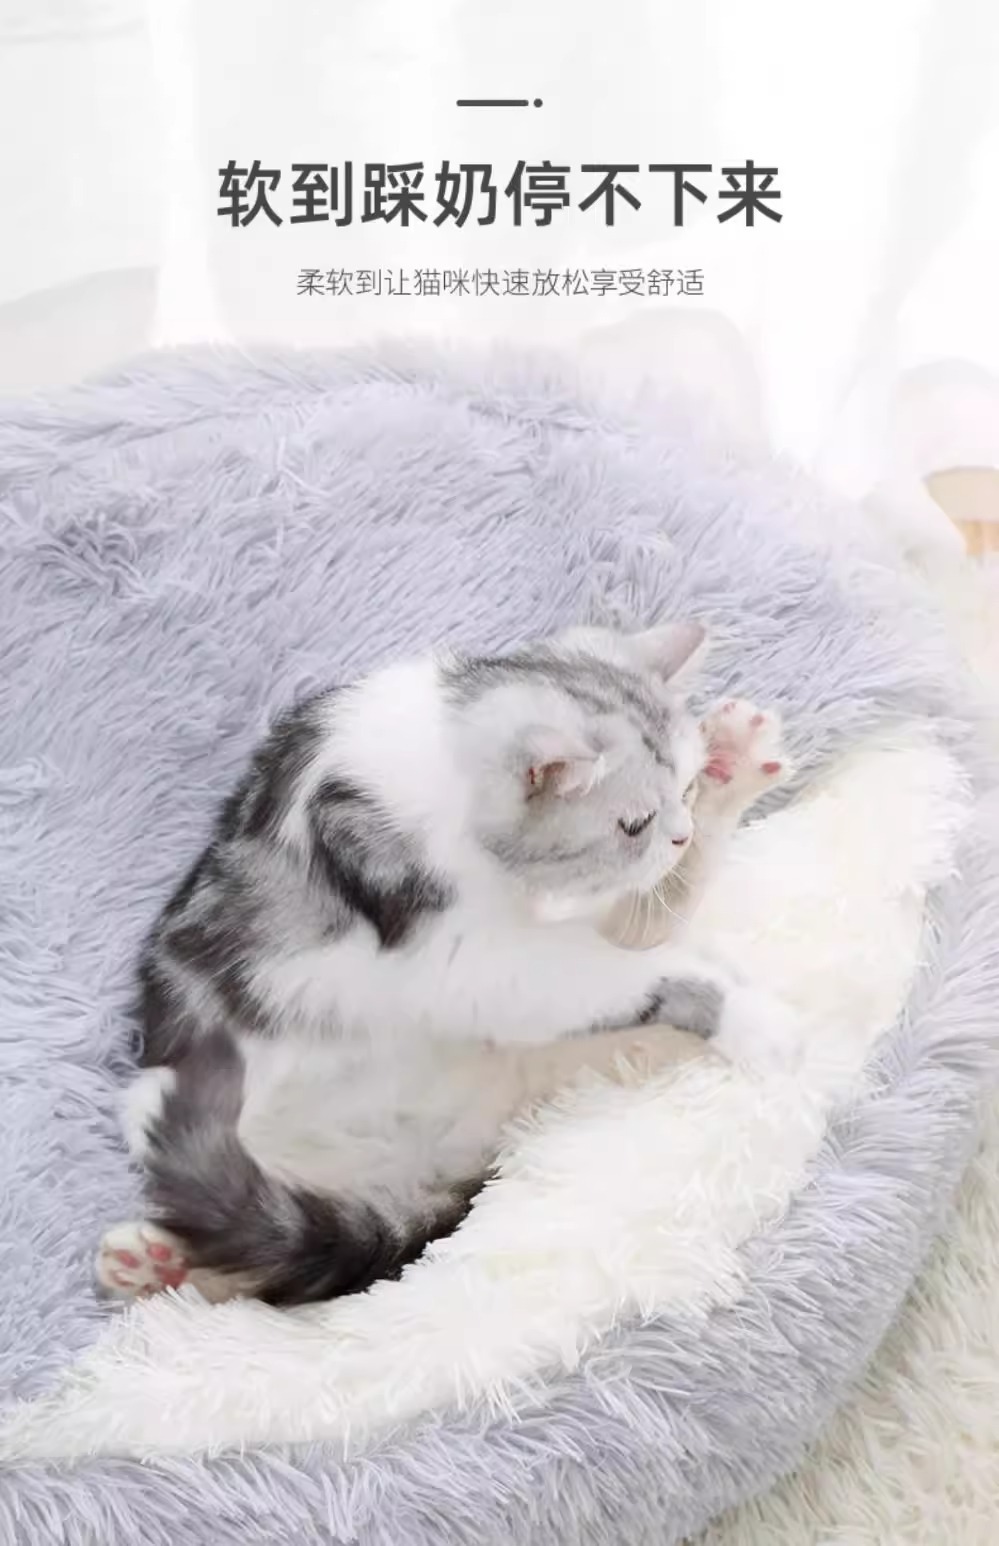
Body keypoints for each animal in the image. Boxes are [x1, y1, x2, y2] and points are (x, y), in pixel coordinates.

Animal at [96, 621, 794, 1307]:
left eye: (684, 790)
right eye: (634, 823)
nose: (677, 833)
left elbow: (646, 933)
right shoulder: (462, 960)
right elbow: (631, 969)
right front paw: (751, 1016)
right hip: (170, 1103)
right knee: (262, 1254)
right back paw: (162, 1265)